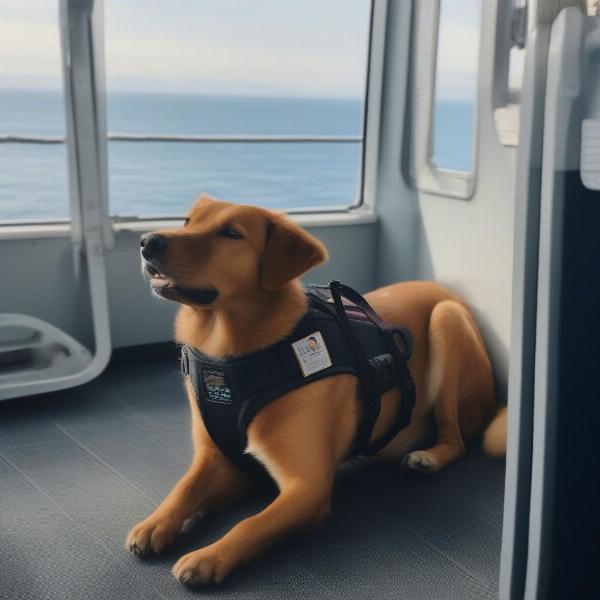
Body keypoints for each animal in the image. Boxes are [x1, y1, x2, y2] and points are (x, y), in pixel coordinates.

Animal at [125, 196, 506, 584]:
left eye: (231, 233)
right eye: (188, 221)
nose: (148, 241)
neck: (234, 355)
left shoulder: (307, 486)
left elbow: (249, 524)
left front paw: (208, 557)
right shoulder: (221, 459)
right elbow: (185, 487)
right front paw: (155, 524)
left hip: (448, 320)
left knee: (457, 440)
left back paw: (428, 457)